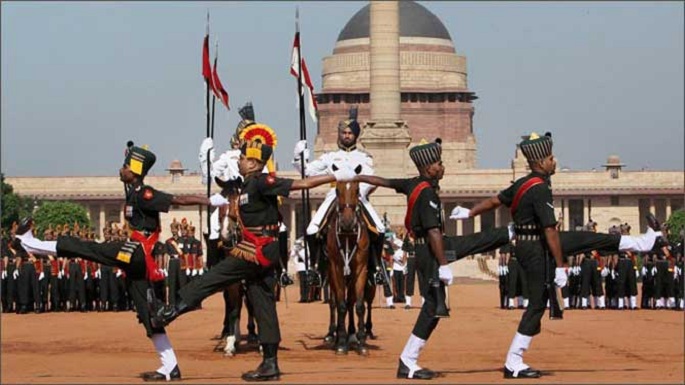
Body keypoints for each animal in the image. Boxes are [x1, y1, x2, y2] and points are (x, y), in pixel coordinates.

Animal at [320, 180, 374, 354]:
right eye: (337, 190)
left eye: (357, 190)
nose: (347, 223)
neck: (348, 236)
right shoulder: (336, 269)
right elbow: (341, 305)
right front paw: (341, 342)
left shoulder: (361, 269)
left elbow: (359, 305)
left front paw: (361, 342)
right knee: (336, 302)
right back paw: (335, 335)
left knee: (352, 301)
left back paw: (352, 333)